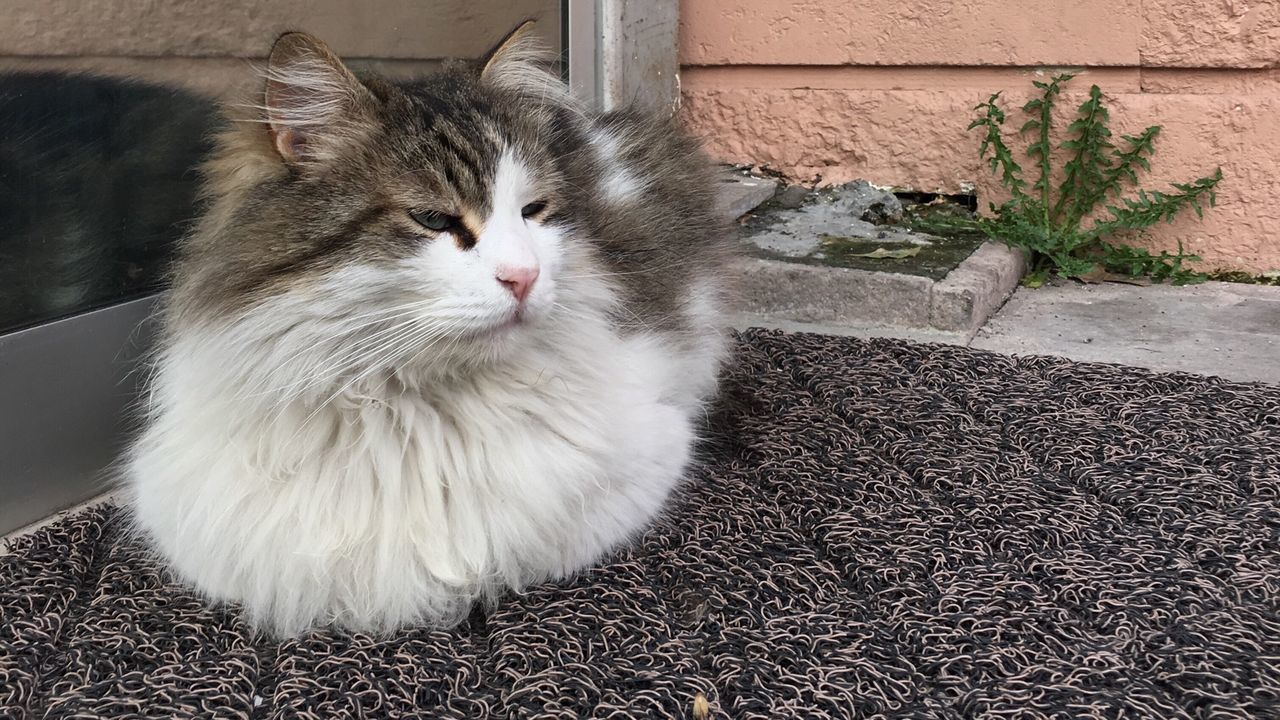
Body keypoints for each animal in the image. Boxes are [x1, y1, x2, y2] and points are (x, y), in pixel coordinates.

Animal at [127, 22, 742, 632]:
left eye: (534, 211)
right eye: (434, 219)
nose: (525, 276)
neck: (408, 402)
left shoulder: (649, 456)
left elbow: (509, 551)